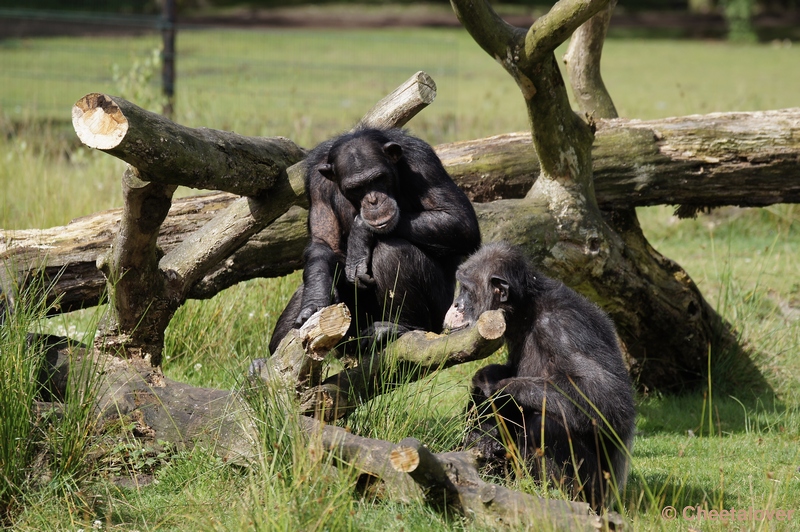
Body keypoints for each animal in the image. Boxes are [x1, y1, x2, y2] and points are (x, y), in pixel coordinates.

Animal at [268, 127, 482, 356]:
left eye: (378, 178)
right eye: (355, 188)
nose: (373, 201)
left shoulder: (423, 162)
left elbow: (459, 220)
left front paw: (360, 231)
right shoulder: (317, 182)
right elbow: (324, 243)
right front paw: (315, 301)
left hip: (442, 314)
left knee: (392, 252)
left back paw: (400, 327)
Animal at [446, 241, 636, 508]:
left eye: (465, 288)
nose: (456, 304)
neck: (526, 310)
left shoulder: (563, 327)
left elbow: (605, 398)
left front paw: (499, 390)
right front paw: (484, 416)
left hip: (597, 493)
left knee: (544, 425)